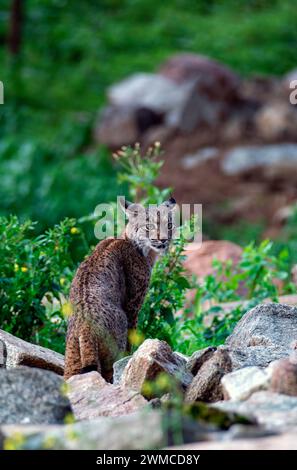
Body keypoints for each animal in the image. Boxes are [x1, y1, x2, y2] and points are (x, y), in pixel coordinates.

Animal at [64, 196, 176, 380]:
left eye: (169, 225)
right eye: (149, 226)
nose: (163, 240)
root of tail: (85, 326)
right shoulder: (133, 304)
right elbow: (133, 334)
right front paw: (131, 357)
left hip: (72, 356)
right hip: (117, 335)